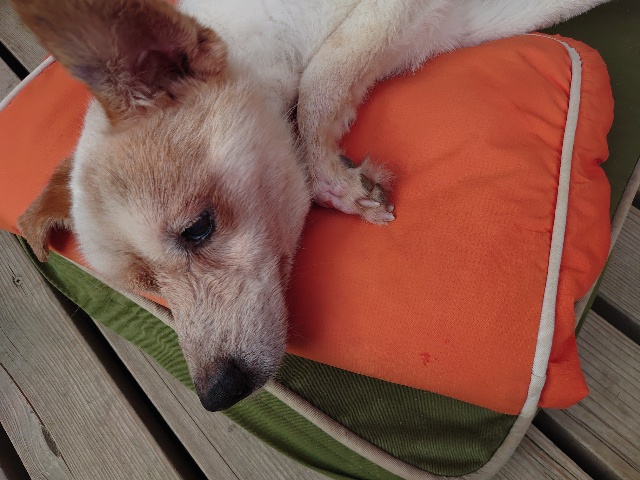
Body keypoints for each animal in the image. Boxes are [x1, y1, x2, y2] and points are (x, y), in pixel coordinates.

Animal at [13, 0, 608, 411]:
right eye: (149, 292)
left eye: (198, 229)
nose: (217, 395)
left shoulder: (388, 13)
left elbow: (321, 79)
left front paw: (334, 176)